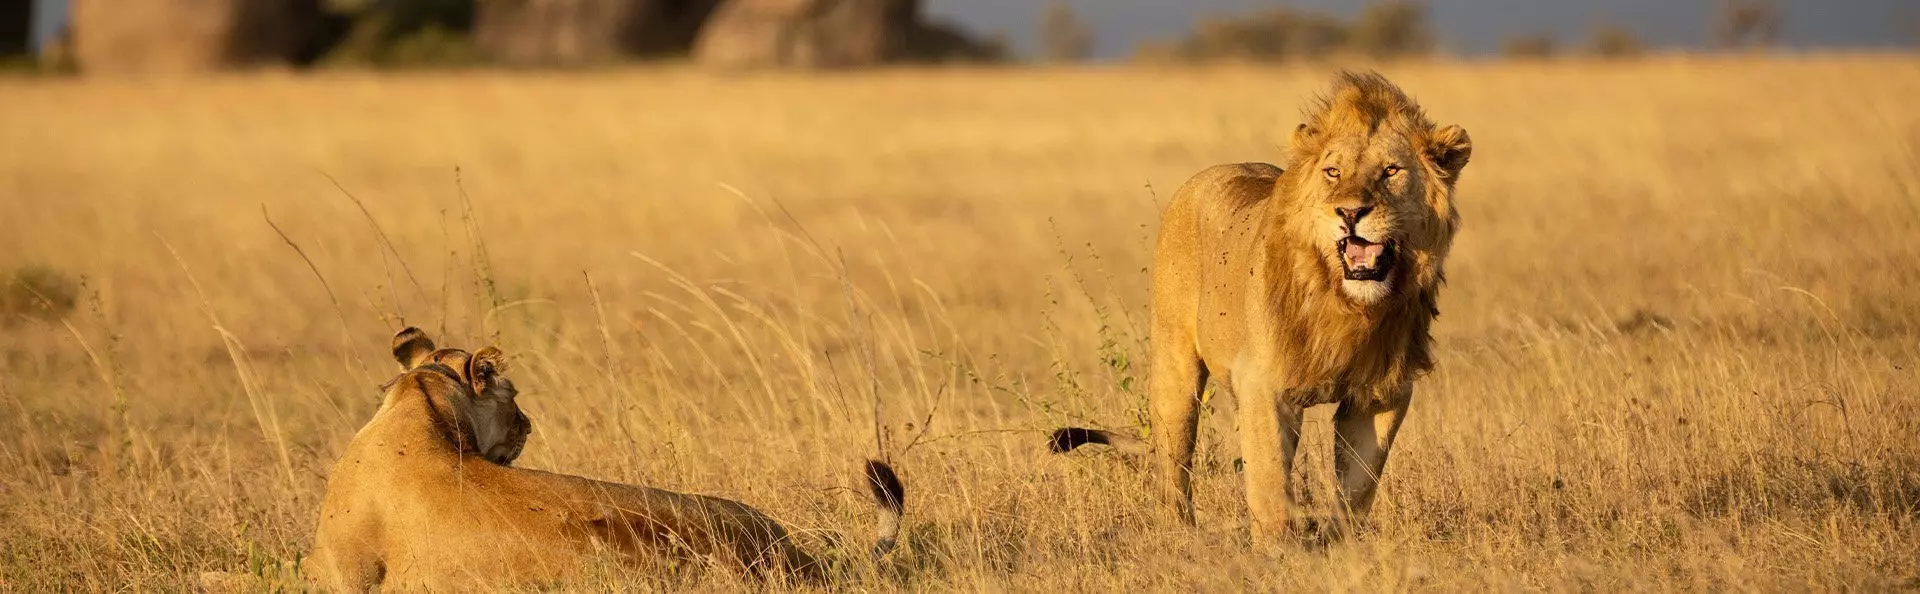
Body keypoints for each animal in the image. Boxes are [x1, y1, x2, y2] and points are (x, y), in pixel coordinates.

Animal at [1051, 71, 1472, 540]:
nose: (1349, 212)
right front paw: (1279, 551)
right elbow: (1270, 483)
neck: (1348, 307)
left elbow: (1358, 486)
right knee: (1174, 461)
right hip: (1174, 368)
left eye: (1391, 171)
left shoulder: (1383, 393)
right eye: (1333, 171)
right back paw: (1181, 534)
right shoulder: (1263, 385)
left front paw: (1341, 543)